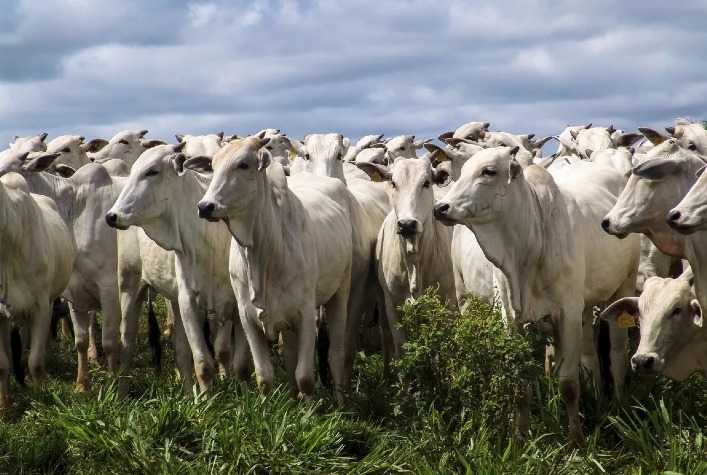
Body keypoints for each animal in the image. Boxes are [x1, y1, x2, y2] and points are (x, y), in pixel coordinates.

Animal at [0, 173, 74, 408]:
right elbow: (2, 364)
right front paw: (4, 405)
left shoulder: (40, 307)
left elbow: (36, 361)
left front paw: (39, 398)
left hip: (48, 302)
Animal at [105, 144, 249, 394]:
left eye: (152, 171)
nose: (112, 216)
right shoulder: (189, 301)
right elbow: (203, 363)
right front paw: (206, 402)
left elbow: (239, 363)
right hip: (130, 285)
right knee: (127, 345)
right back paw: (121, 395)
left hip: (172, 299)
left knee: (181, 352)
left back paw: (187, 394)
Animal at [192, 138, 354, 406]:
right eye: (213, 166)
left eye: (243, 164)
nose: (206, 206)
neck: (263, 254)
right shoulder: (247, 318)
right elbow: (264, 377)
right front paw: (269, 408)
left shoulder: (306, 315)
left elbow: (305, 377)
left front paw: (310, 413)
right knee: (289, 356)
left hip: (340, 292)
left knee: (337, 354)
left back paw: (341, 404)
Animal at [434, 147, 644, 444]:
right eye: (460, 172)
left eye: (489, 171)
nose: (440, 208)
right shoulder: (513, 321)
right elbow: (521, 387)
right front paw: (521, 437)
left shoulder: (567, 314)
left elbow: (568, 383)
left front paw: (576, 439)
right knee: (590, 354)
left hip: (623, 285)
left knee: (616, 353)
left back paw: (619, 404)